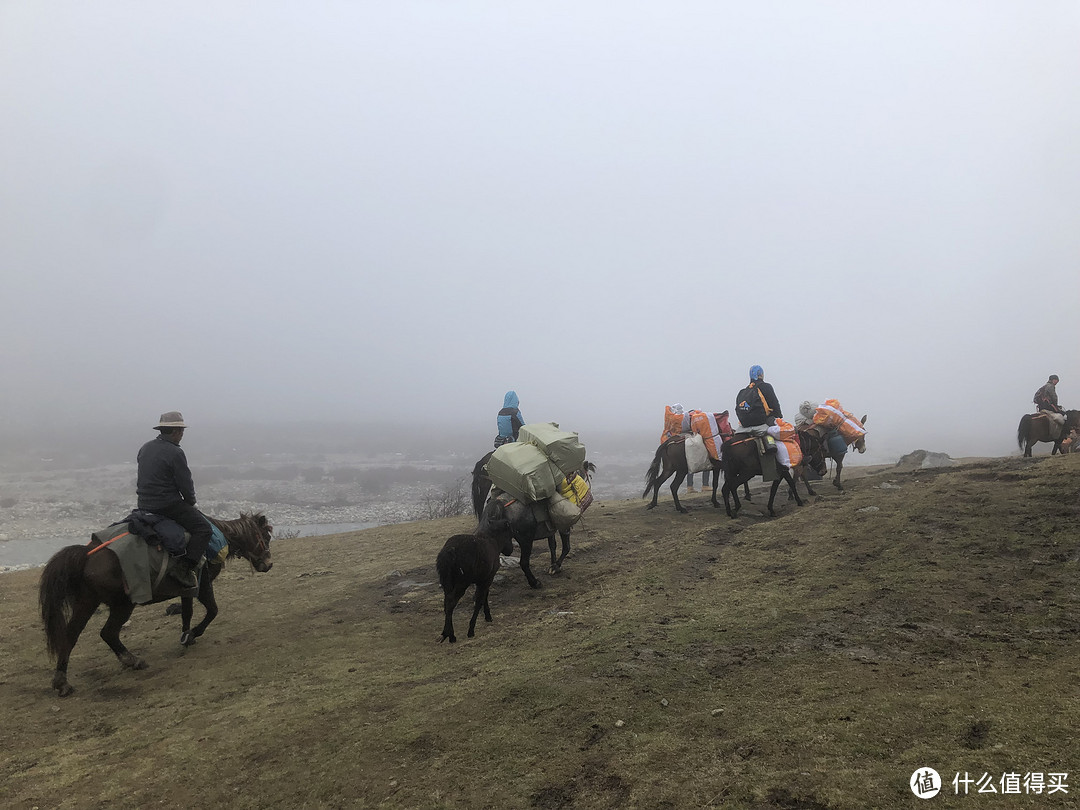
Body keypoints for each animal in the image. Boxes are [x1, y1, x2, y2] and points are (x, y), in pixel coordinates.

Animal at [38, 514, 274, 699]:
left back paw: (62, 681)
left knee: (71, 635)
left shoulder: (188, 587)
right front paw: (193, 634)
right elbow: (212, 611)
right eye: (267, 536)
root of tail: (86, 555)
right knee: (108, 632)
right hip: (122, 604)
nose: (268, 564)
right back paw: (132, 660)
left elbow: (187, 613)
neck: (217, 538)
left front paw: (186, 636)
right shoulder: (203, 583)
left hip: (87, 602)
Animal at [468, 451, 596, 591]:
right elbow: (566, 547)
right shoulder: (563, 526)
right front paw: (555, 567)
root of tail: (499, 504)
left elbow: (552, 545)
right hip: (526, 540)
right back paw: (534, 582)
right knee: (524, 562)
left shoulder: (550, 528)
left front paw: (553, 564)